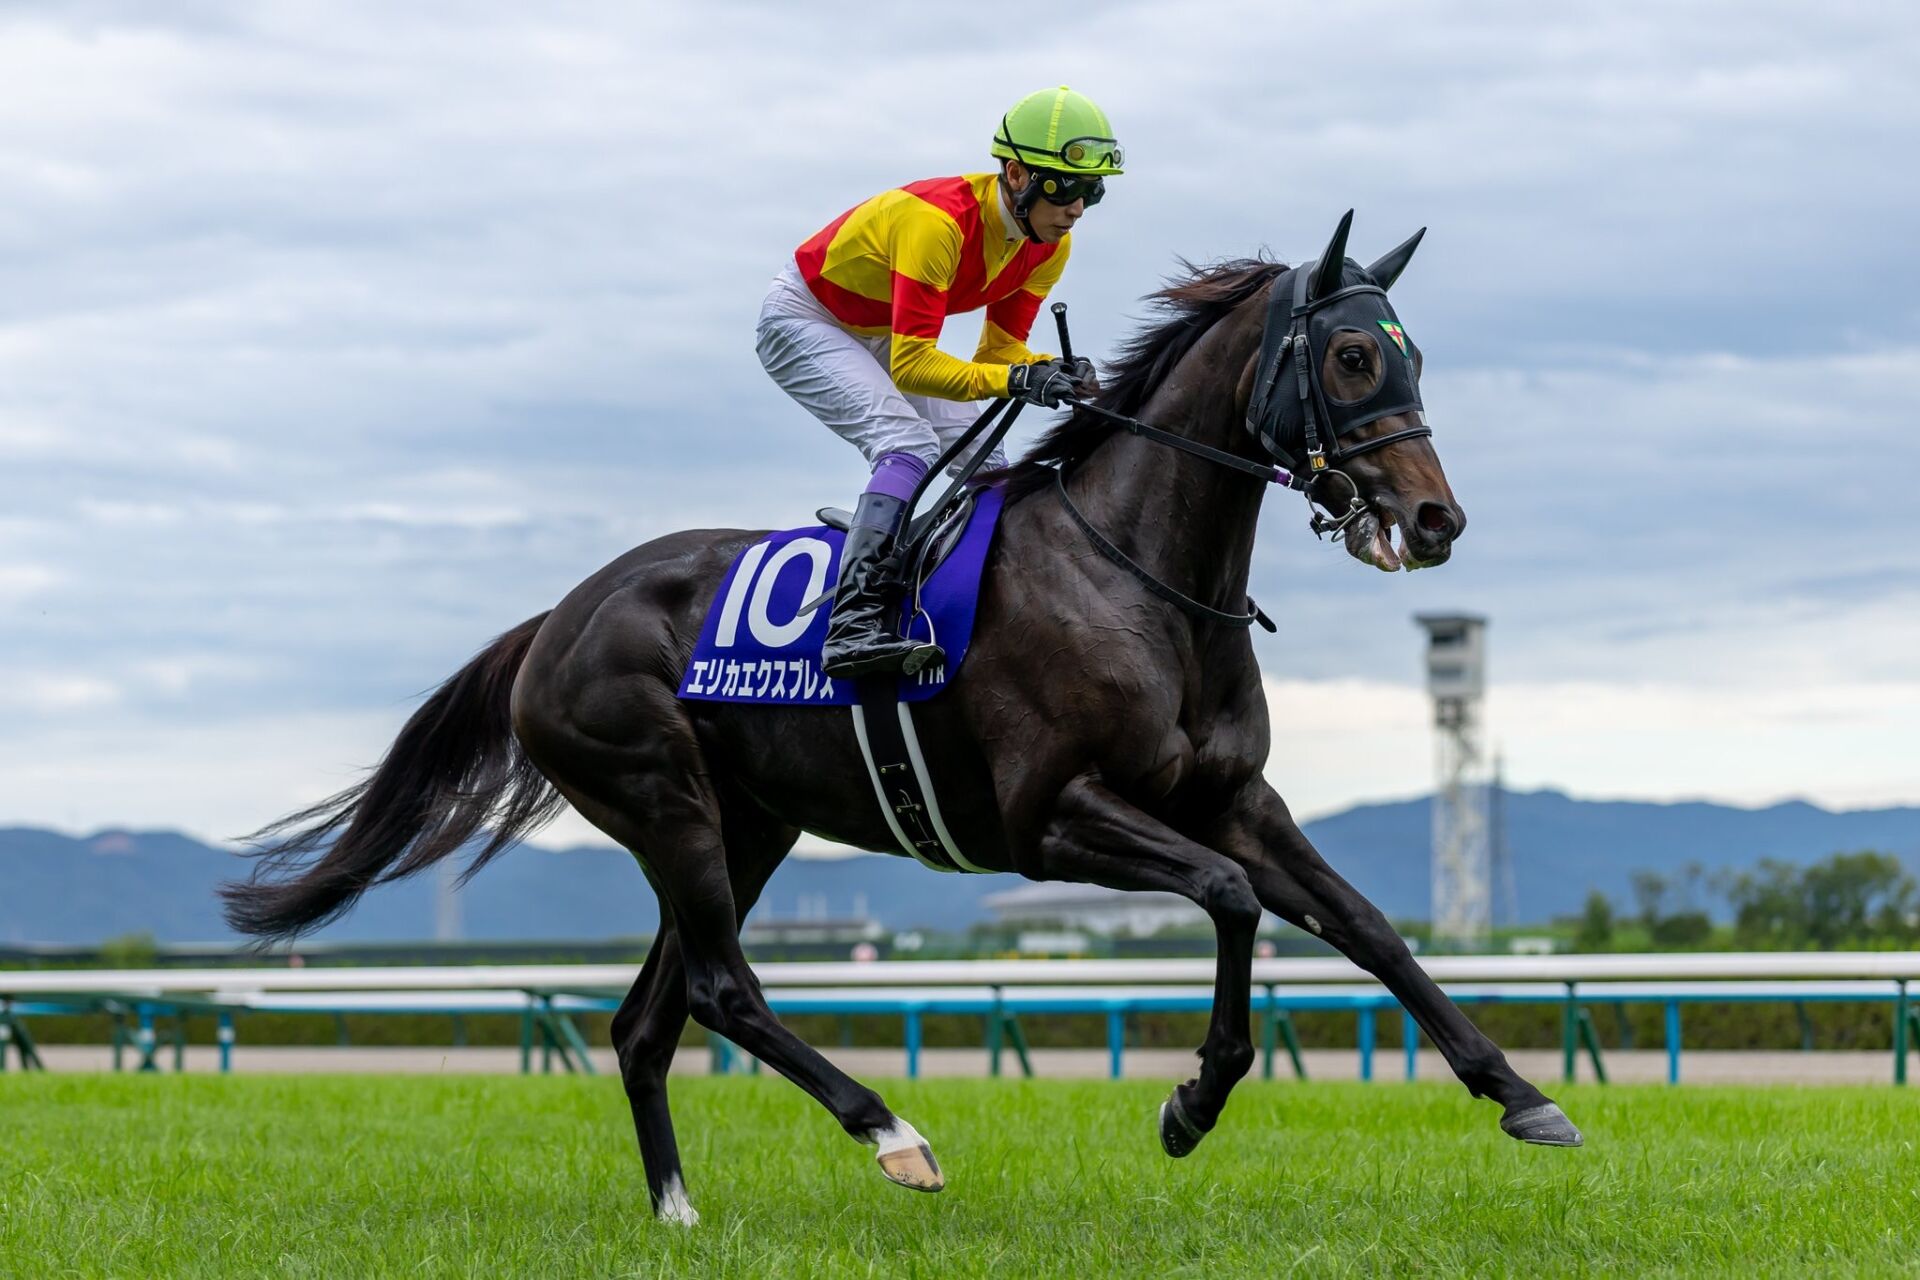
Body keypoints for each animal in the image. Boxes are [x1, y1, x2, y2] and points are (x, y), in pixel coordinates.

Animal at [222, 212, 1582, 1227]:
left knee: (648, 1017)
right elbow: (1235, 900)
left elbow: (1366, 923)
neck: (1138, 574)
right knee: (722, 989)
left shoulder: (1233, 797)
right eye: (1352, 358)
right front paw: (1190, 1102)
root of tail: (555, 617)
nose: (1435, 519)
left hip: (746, 825)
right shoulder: (1053, 820)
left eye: (1417, 356)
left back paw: (678, 1209)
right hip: (663, 798)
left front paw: (1520, 1090)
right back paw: (893, 1132)